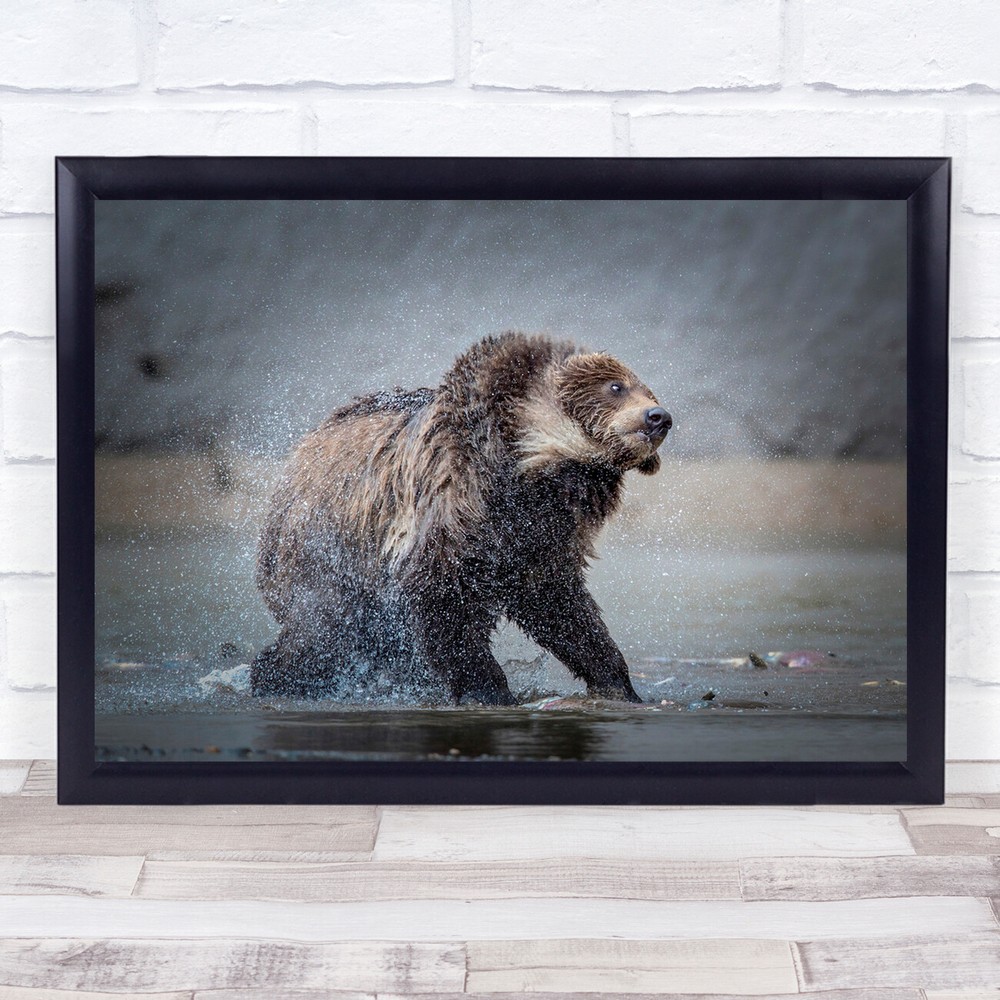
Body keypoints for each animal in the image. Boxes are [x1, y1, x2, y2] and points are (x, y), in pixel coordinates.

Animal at [251, 331, 671, 706]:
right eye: (616, 386)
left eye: (648, 390)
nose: (659, 417)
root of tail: (299, 454)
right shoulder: (455, 505)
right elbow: (445, 597)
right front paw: (489, 690)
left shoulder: (542, 535)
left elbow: (562, 605)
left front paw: (618, 683)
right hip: (330, 552)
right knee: (320, 634)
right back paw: (275, 677)